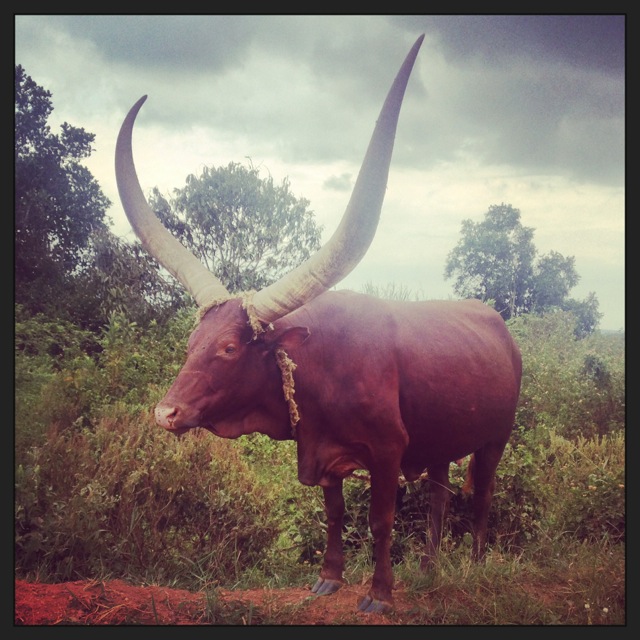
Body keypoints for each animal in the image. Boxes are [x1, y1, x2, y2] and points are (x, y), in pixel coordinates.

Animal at [116, 36, 520, 616]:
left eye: (231, 347)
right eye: (192, 342)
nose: (165, 413)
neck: (320, 368)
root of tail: (499, 326)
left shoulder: (387, 451)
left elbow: (380, 521)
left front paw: (379, 593)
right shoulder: (323, 452)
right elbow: (335, 516)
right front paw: (328, 579)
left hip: (494, 438)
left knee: (481, 495)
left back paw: (477, 563)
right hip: (440, 441)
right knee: (440, 498)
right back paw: (429, 568)